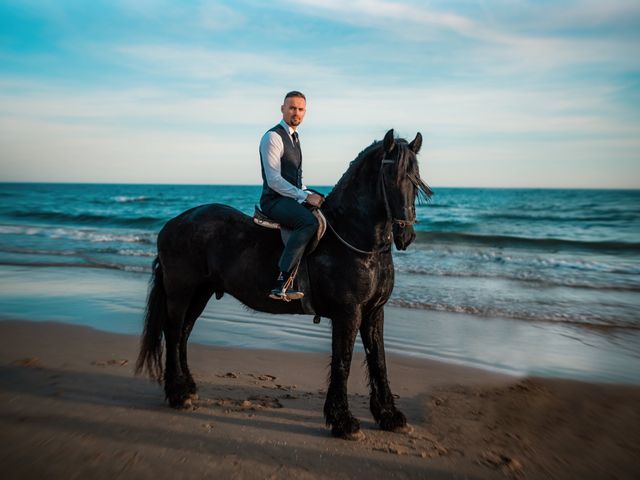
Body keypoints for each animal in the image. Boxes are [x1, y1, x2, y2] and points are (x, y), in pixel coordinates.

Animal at [137, 129, 432, 440]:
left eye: (416, 179)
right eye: (390, 177)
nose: (406, 235)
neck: (357, 239)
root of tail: (173, 224)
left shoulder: (374, 312)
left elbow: (379, 361)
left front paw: (390, 416)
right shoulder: (348, 313)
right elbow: (343, 362)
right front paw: (343, 421)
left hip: (200, 293)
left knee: (183, 334)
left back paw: (189, 388)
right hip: (180, 292)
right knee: (173, 333)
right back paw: (178, 394)